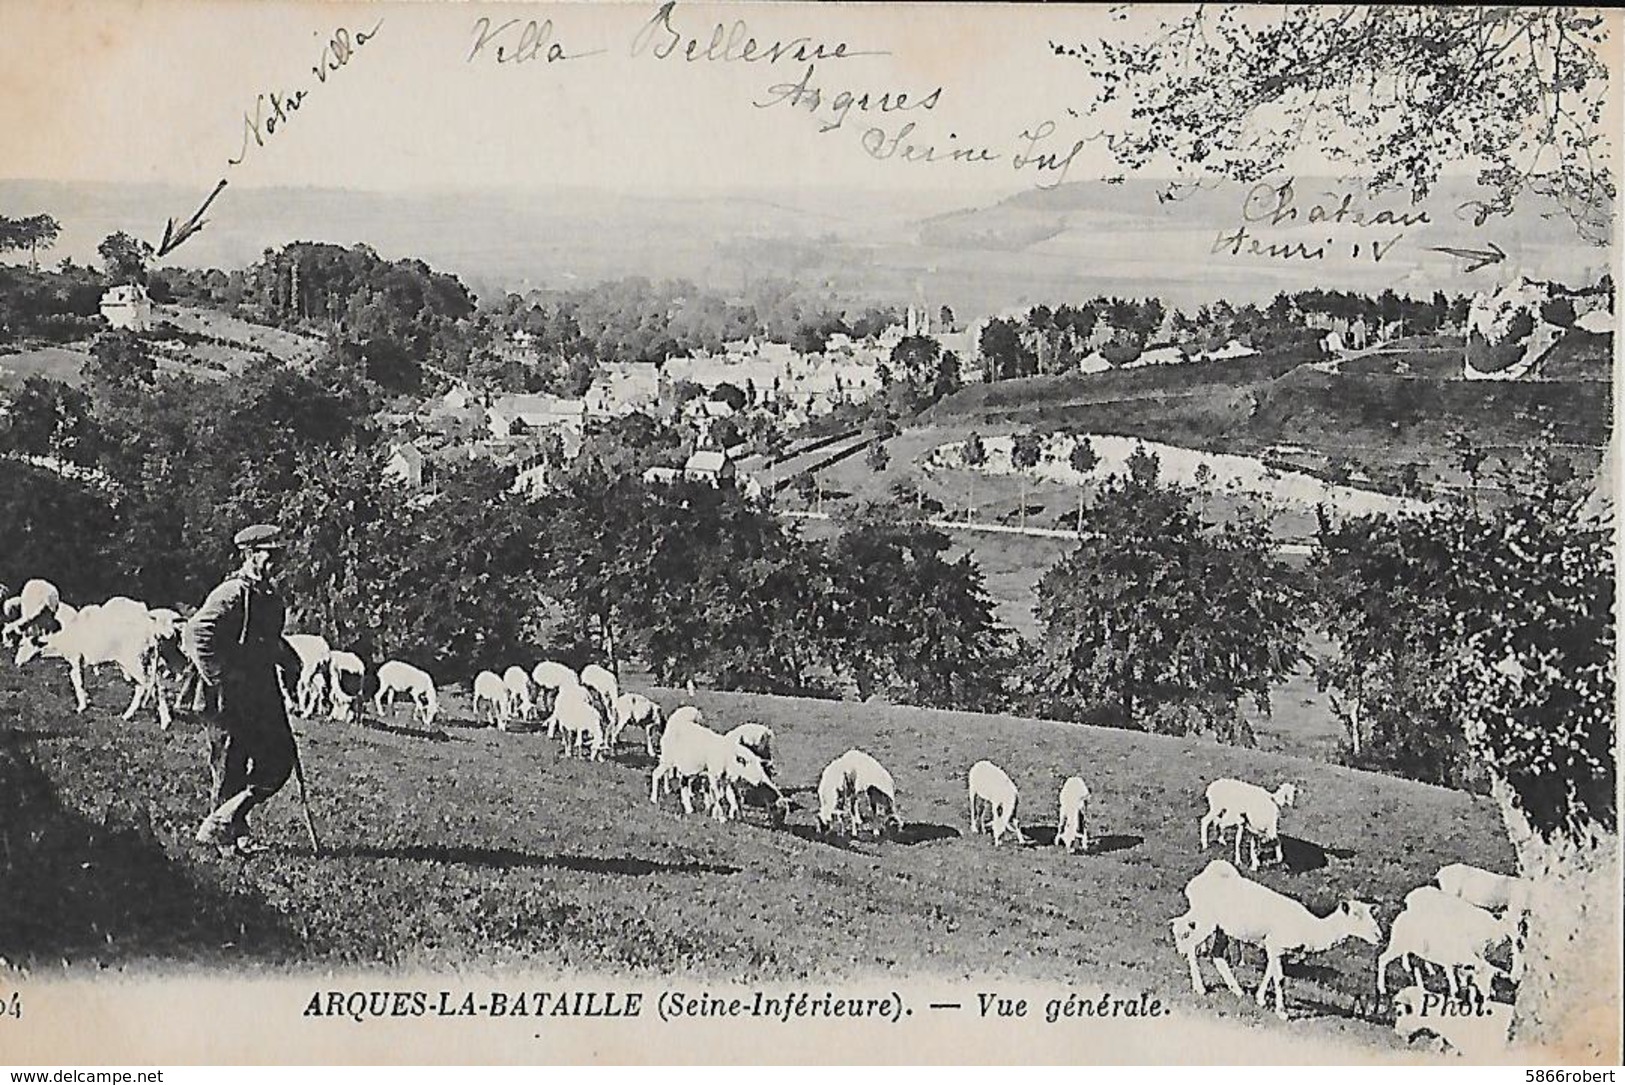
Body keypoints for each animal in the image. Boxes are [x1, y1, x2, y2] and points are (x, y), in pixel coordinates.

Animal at [1170, 857, 1384, 1020]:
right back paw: (1200, 987)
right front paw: (1282, 1012)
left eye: (1371, 914)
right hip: (1208, 919)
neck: (1311, 929)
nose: (1379, 936)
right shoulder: (1275, 945)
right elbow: (1279, 978)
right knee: (1191, 943)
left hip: (1219, 926)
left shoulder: (1274, 947)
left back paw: (1237, 990)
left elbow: (1270, 973)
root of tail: (1197, 881)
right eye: (1356, 915)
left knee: (1212, 951)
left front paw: (1260, 999)